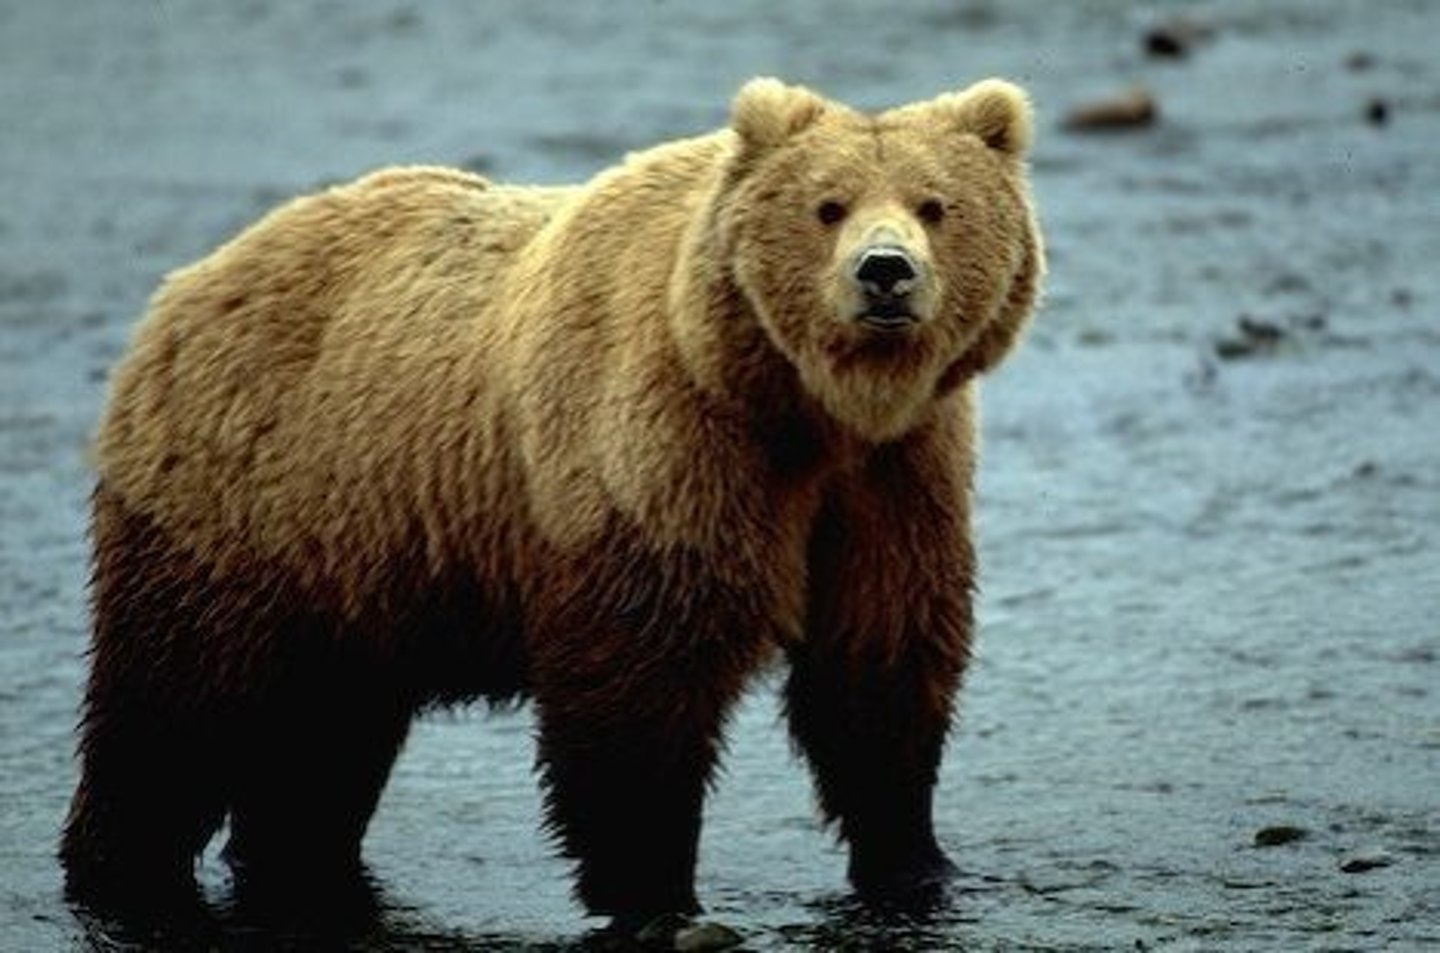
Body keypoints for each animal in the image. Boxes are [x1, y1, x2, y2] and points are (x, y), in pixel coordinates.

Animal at [61, 76, 1043, 940]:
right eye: (828, 206)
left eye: (936, 204)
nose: (886, 273)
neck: (803, 408)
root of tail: (189, 284)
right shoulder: (670, 448)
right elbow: (643, 681)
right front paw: (657, 893)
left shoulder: (892, 481)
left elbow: (877, 662)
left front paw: (918, 864)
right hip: (241, 503)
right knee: (172, 710)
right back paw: (118, 871)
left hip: (352, 566)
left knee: (322, 742)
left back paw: (296, 860)